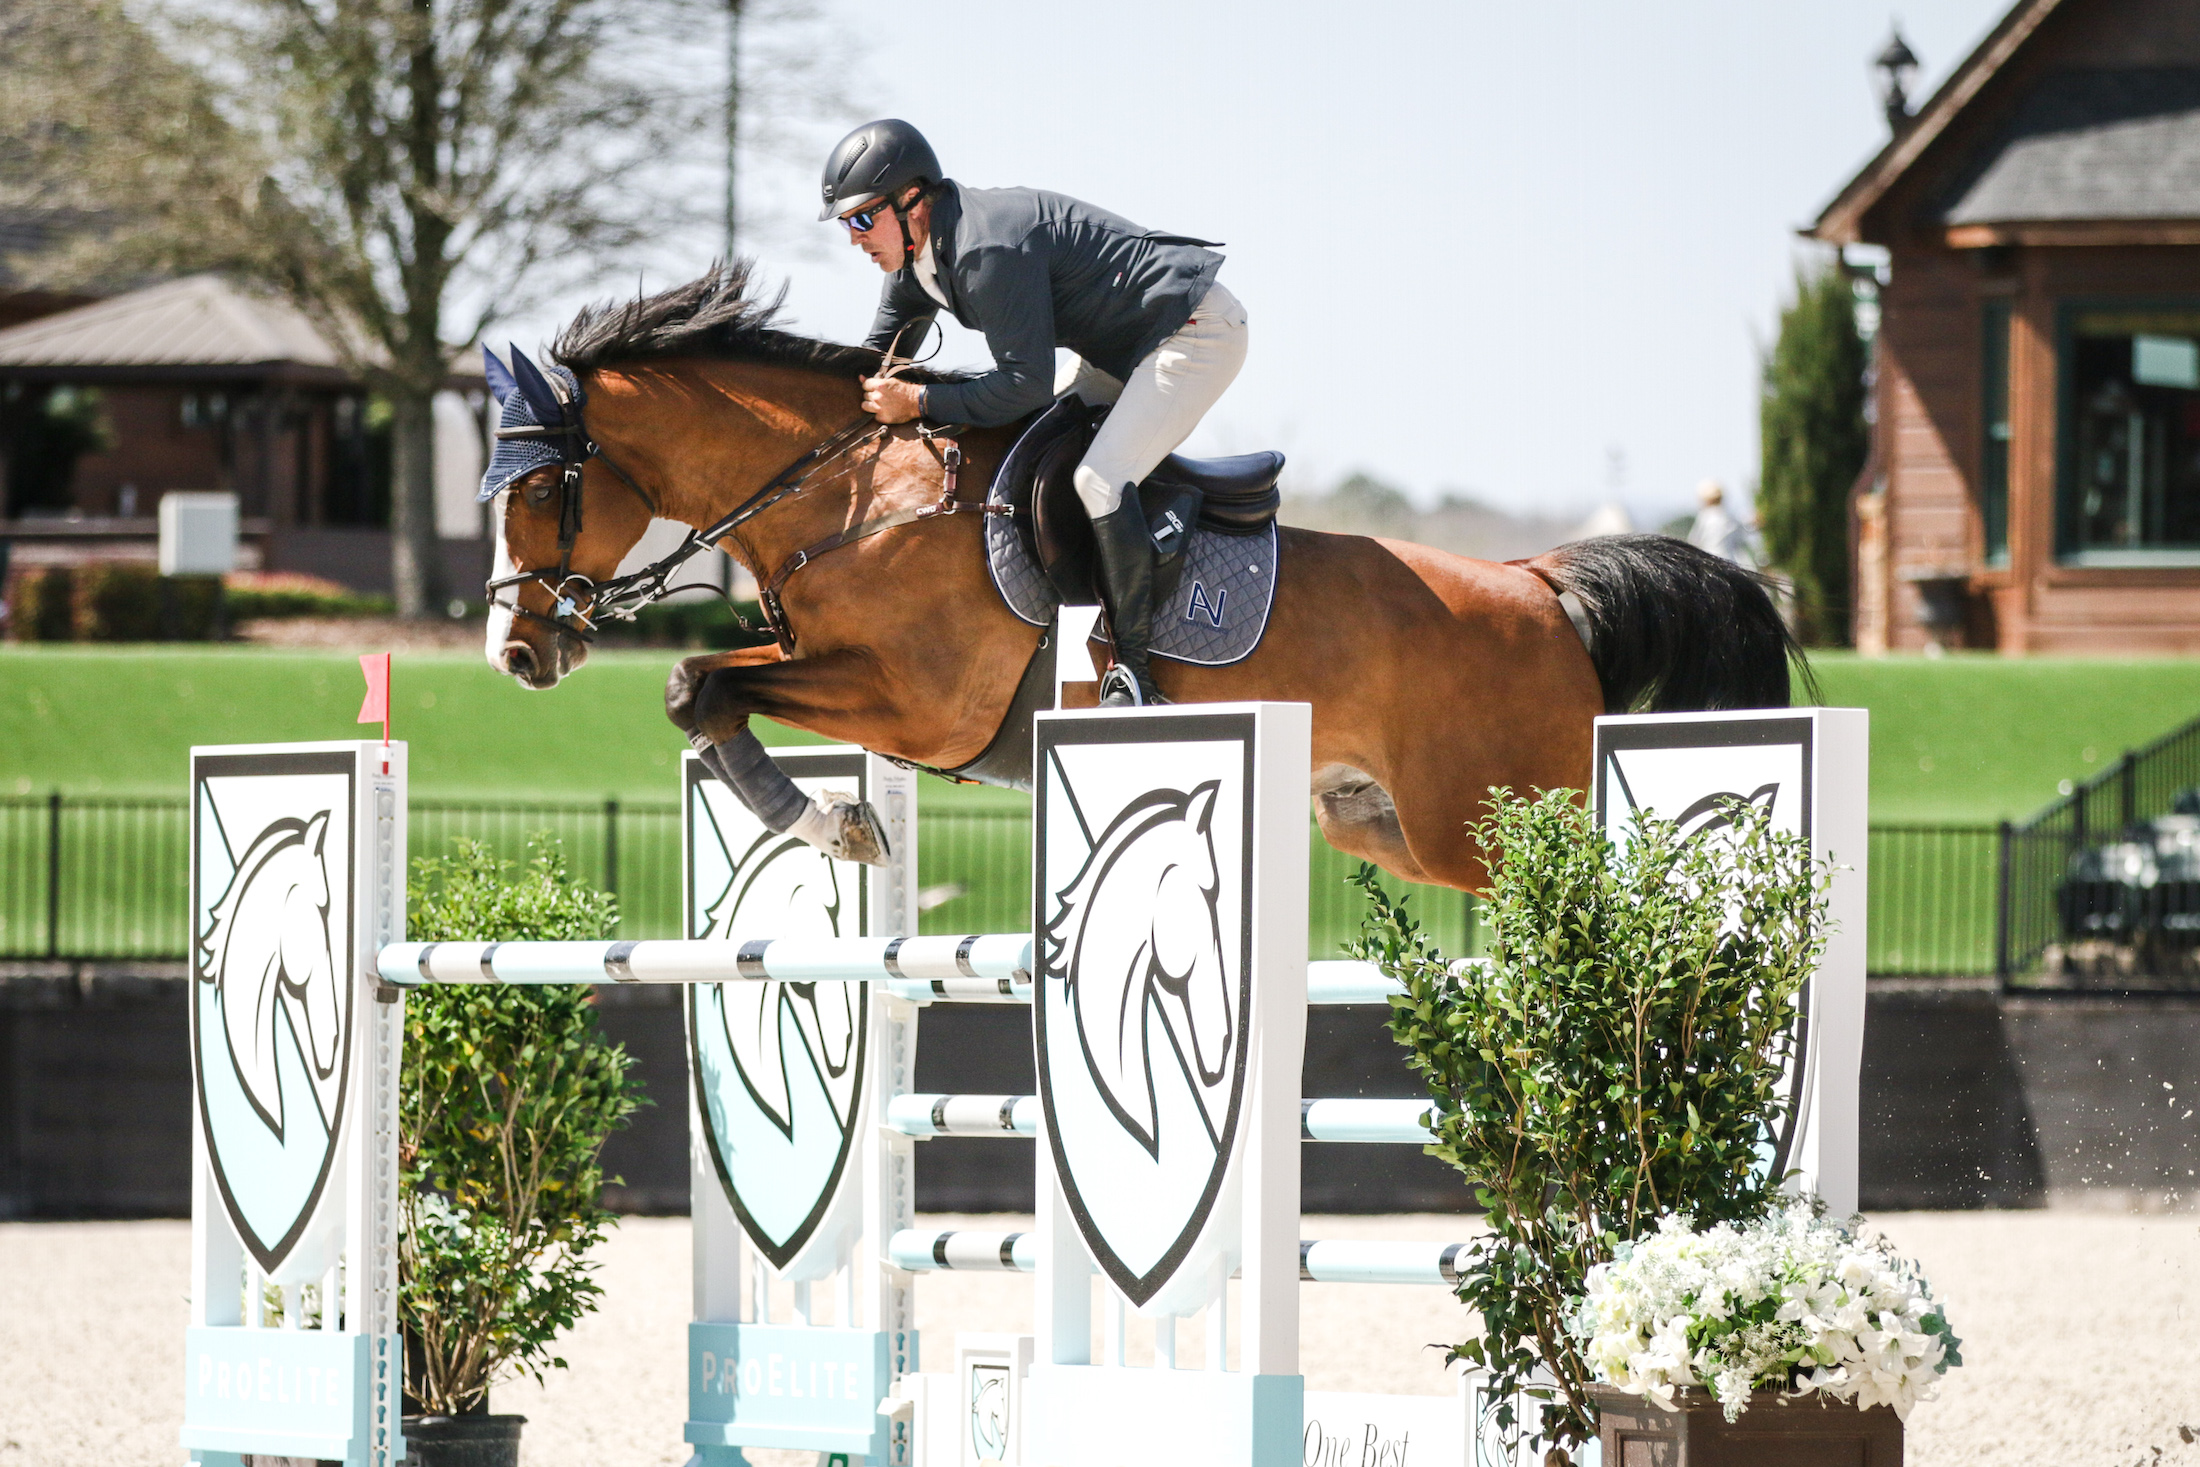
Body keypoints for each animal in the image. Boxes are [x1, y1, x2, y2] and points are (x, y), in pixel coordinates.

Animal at [486, 258, 1804, 888]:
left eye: (541, 491)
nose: (516, 652)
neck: (852, 493)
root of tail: (1541, 587)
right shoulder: (843, 673)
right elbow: (700, 690)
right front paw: (835, 822)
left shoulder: (919, 703)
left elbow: (704, 685)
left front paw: (834, 822)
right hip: (1376, 822)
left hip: (1489, 825)